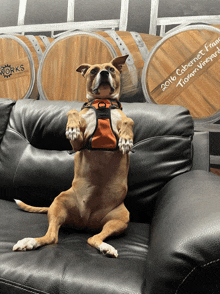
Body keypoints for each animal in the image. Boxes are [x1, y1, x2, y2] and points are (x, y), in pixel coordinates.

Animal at [13, 55, 135, 258]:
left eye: (111, 69)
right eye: (93, 71)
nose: (103, 73)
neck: (102, 103)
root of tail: (86, 221)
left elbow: (129, 120)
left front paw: (126, 138)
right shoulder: (78, 143)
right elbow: (72, 112)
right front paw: (72, 126)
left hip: (120, 218)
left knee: (93, 238)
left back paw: (106, 247)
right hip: (59, 203)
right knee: (52, 236)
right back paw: (30, 242)